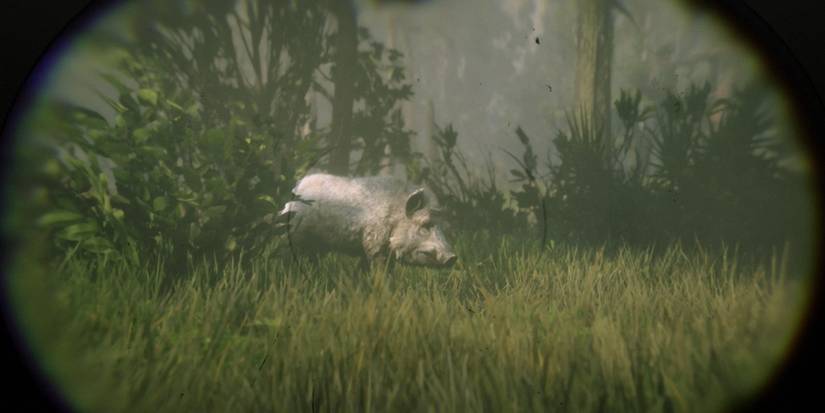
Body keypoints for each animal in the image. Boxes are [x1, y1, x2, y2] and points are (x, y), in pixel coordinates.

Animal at [274, 173, 457, 269]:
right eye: (425, 225)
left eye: (446, 228)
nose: (453, 257)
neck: (394, 218)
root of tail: (297, 188)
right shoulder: (374, 244)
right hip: (296, 234)